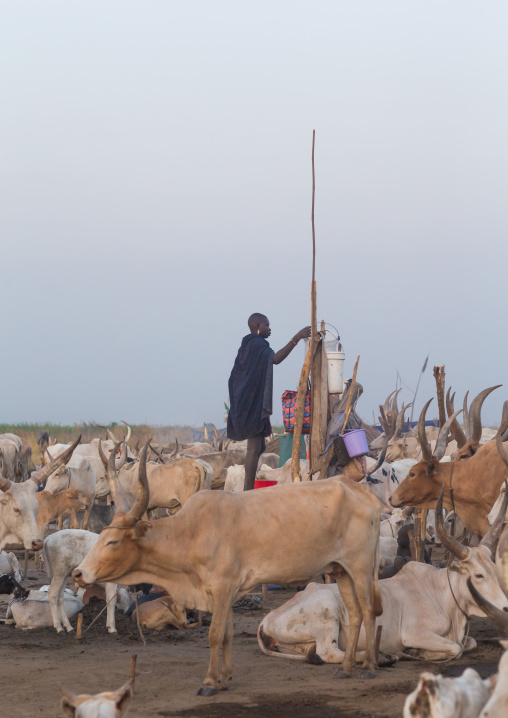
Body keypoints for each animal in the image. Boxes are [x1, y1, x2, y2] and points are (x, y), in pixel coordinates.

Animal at [72, 442, 383, 696]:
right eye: (101, 536)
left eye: (113, 541)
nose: (78, 574)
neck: (190, 533)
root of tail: (363, 492)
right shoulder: (227, 591)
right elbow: (227, 635)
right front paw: (224, 678)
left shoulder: (222, 588)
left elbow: (214, 635)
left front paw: (210, 682)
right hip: (341, 570)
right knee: (355, 614)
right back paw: (346, 668)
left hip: (361, 567)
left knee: (368, 611)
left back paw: (368, 667)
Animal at [258, 485, 508, 664]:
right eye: (478, 575)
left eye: (494, 571)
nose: (505, 608)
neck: (443, 596)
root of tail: (266, 619)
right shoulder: (414, 632)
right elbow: (456, 649)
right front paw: (417, 653)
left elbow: (470, 643)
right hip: (327, 618)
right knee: (330, 653)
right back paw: (381, 656)